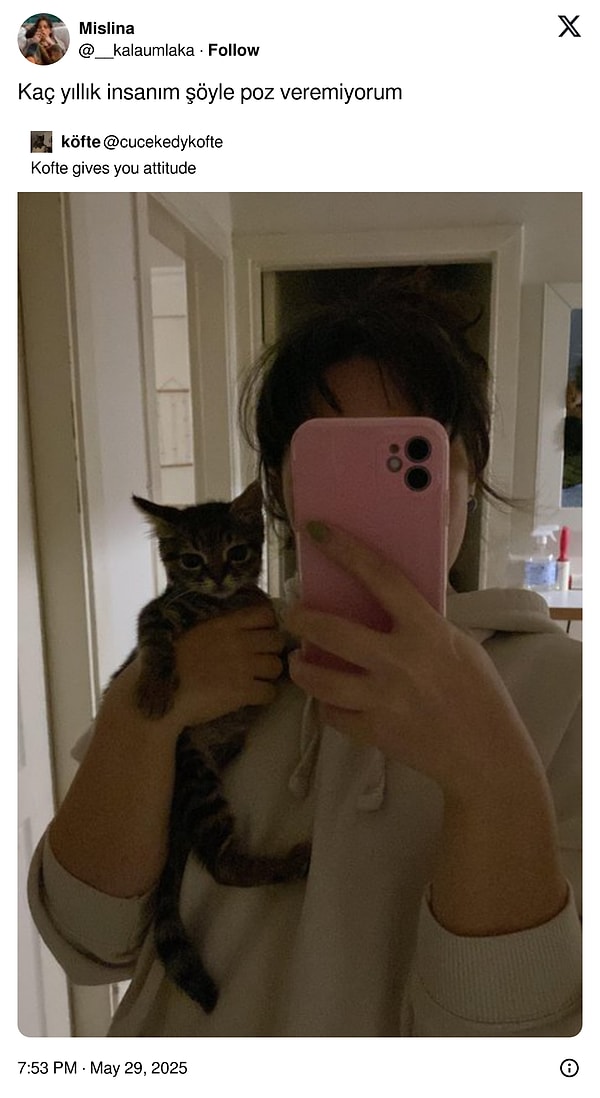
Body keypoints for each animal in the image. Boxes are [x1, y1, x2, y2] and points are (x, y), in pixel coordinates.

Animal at [125, 481, 310, 1012]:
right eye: (191, 560)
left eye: (237, 552)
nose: (219, 575)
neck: (221, 606)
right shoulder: (156, 611)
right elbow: (155, 638)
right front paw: (154, 688)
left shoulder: (267, 640)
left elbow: (285, 656)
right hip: (195, 773)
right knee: (222, 864)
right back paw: (288, 863)